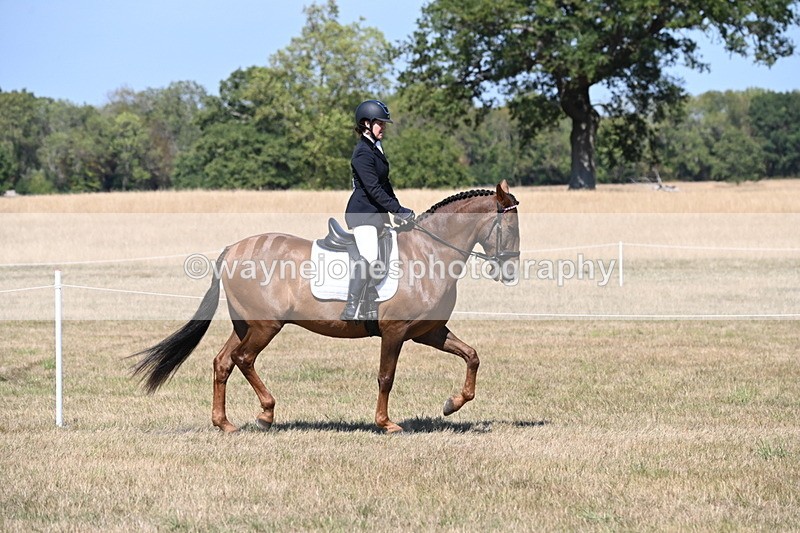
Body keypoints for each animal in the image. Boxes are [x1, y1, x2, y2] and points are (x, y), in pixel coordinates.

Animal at [133, 180, 520, 433]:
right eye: (510, 227)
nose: (509, 271)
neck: (429, 253)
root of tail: (232, 249)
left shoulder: (428, 331)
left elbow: (472, 356)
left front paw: (452, 404)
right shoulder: (395, 331)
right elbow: (386, 377)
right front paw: (386, 423)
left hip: (245, 324)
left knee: (223, 362)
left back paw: (224, 423)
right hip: (266, 325)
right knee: (243, 359)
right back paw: (266, 415)